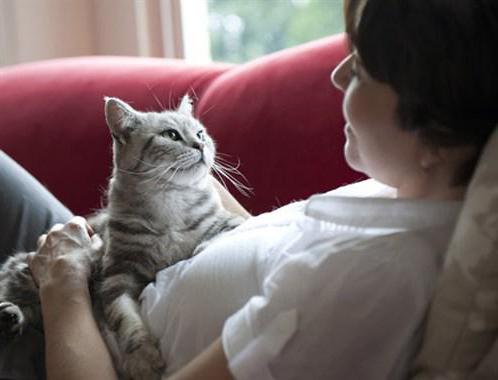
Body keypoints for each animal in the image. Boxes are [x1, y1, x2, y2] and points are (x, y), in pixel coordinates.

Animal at [0, 95, 248, 380]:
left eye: (200, 133)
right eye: (171, 134)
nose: (200, 144)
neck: (170, 201)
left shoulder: (230, 221)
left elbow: (222, 232)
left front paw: (199, 247)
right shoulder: (117, 275)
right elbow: (126, 319)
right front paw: (142, 357)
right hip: (22, 276)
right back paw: (10, 314)